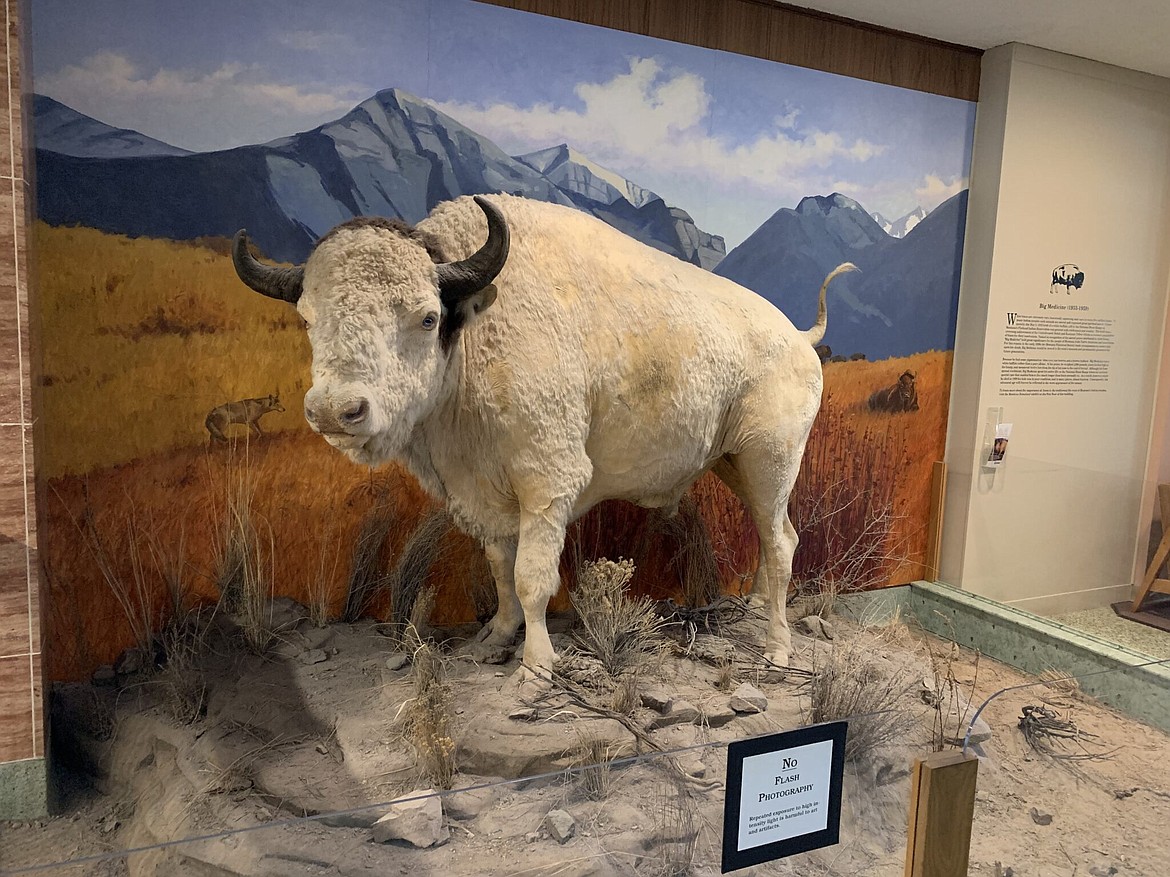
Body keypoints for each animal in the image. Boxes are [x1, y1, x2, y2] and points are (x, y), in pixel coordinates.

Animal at [228, 194, 856, 678]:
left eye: (427, 317)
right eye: (307, 318)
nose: (338, 412)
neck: (478, 331)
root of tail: (800, 337)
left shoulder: (547, 483)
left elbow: (532, 578)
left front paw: (535, 666)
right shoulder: (486, 491)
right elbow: (499, 568)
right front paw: (494, 638)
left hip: (770, 459)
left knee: (781, 542)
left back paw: (777, 649)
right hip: (734, 463)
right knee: (771, 536)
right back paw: (756, 608)